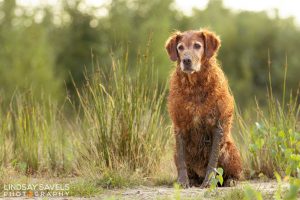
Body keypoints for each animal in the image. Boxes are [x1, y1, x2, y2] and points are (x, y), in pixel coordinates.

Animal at [165, 29, 243, 188]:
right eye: (180, 47)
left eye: (197, 45)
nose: (186, 60)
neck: (194, 87)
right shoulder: (179, 126)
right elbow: (182, 161)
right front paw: (182, 182)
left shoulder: (217, 126)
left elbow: (212, 161)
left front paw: (209, 182)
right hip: (175, 152)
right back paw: (193, 180)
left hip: (228, 150)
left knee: (235, 173)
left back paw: (231, 180)